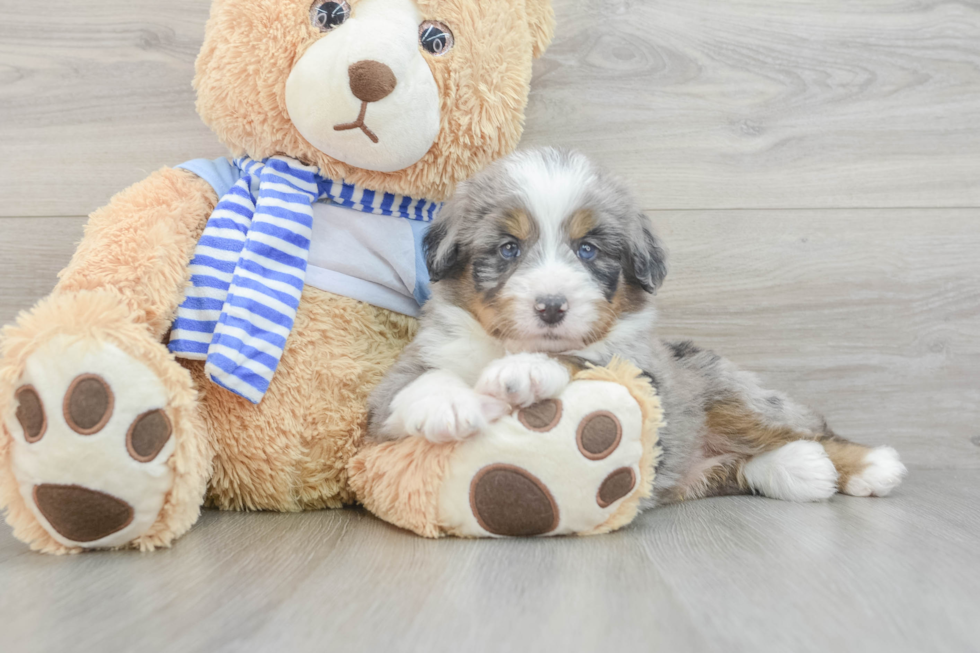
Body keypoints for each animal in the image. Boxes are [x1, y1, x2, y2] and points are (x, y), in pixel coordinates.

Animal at [370, 148, 912, 504]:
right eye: (508, 248)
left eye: (588, 249)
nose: (551, 307)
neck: (503, 345)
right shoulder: (386, 403)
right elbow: (417, 384)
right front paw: (448, 405)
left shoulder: (640, 375)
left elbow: (577, 357)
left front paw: (525, 370)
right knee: (738, 464)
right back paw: (800, 469)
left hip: (730, 391)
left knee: (806, 427)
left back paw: (869, 465)